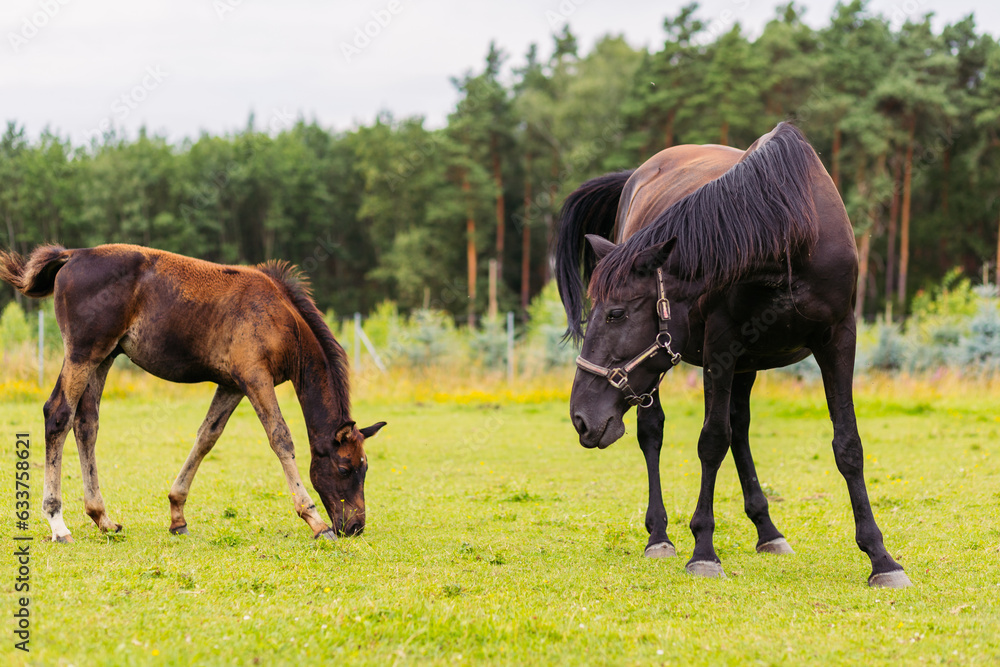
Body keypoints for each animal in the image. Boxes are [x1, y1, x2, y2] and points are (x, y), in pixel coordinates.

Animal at [0, 245, 386, 544]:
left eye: (366, 467)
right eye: (345, 467)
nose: (355, 526)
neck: (282, 317)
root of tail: (73, 255)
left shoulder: (233, 384)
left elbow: (207, 437)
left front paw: (177, 515)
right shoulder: (255, 378)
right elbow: (280, 438)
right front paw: (316, 521)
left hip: (104, 356)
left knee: (86, 423)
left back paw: (102, 518)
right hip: (82, 353)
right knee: (58, 415)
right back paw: (58, 524)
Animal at [560, 122, 912, 588]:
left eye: (616, 312)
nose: (581, 417)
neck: (790, 239)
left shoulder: (837, 339)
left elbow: (847, 444)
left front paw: (881, 558)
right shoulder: (720, 348)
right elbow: (711, 441)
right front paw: (704, 552)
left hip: (748, 364)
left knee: (739, 428)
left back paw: (768, 530)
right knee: (653, 432)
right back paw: (659, 536)